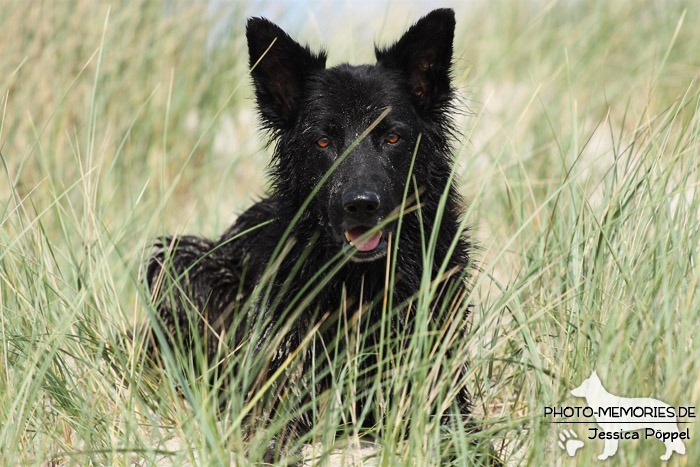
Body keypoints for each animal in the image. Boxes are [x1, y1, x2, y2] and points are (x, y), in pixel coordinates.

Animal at [146, 8, 484, 464]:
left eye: (392, 136)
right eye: (323, 140)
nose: (361, 205)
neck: (359, 286)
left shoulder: (440, 388)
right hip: (178, 260)